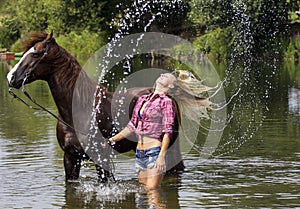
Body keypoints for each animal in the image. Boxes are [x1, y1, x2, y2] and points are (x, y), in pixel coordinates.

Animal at [6, 31, 185, 183]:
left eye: (36, 53)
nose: (10, 77)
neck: (78, 112)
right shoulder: (70, 157)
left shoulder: (100, 159)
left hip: (169, 149)